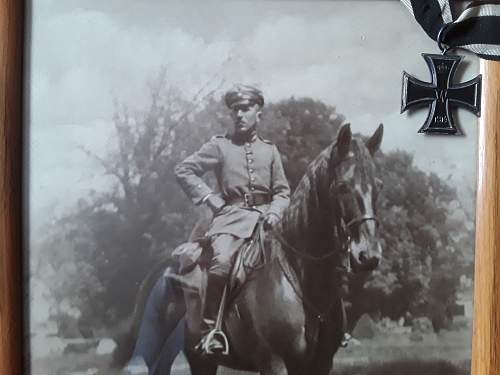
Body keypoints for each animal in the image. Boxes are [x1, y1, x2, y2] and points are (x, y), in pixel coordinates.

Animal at [117, 122, 382, 374]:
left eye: (377, 185)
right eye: (342, 186)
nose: (368, 255)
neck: (301, 277)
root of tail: (166, 267)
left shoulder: (320, 364)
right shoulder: (274, 362)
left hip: (198, 360)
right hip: (156, 353)